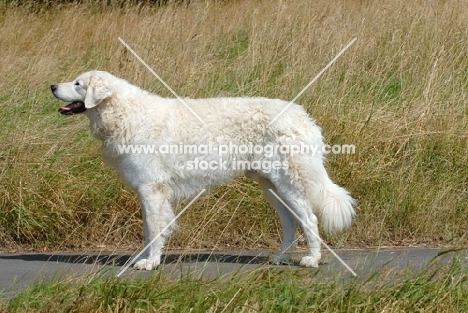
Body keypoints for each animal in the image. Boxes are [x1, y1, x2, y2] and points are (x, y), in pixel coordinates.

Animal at [51, 70, 354, 268]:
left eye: (78, 84)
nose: (52, 86)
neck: (123, 113)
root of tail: (304, 117)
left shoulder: (151, 188)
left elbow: (154, 229)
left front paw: (150, 263)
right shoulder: (148, 190)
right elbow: (150, 230)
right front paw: (146, 258)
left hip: (289, 183)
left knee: (309, 219)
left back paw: (312, 259)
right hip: (271, 186)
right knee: (290, 222)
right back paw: (280, 258)